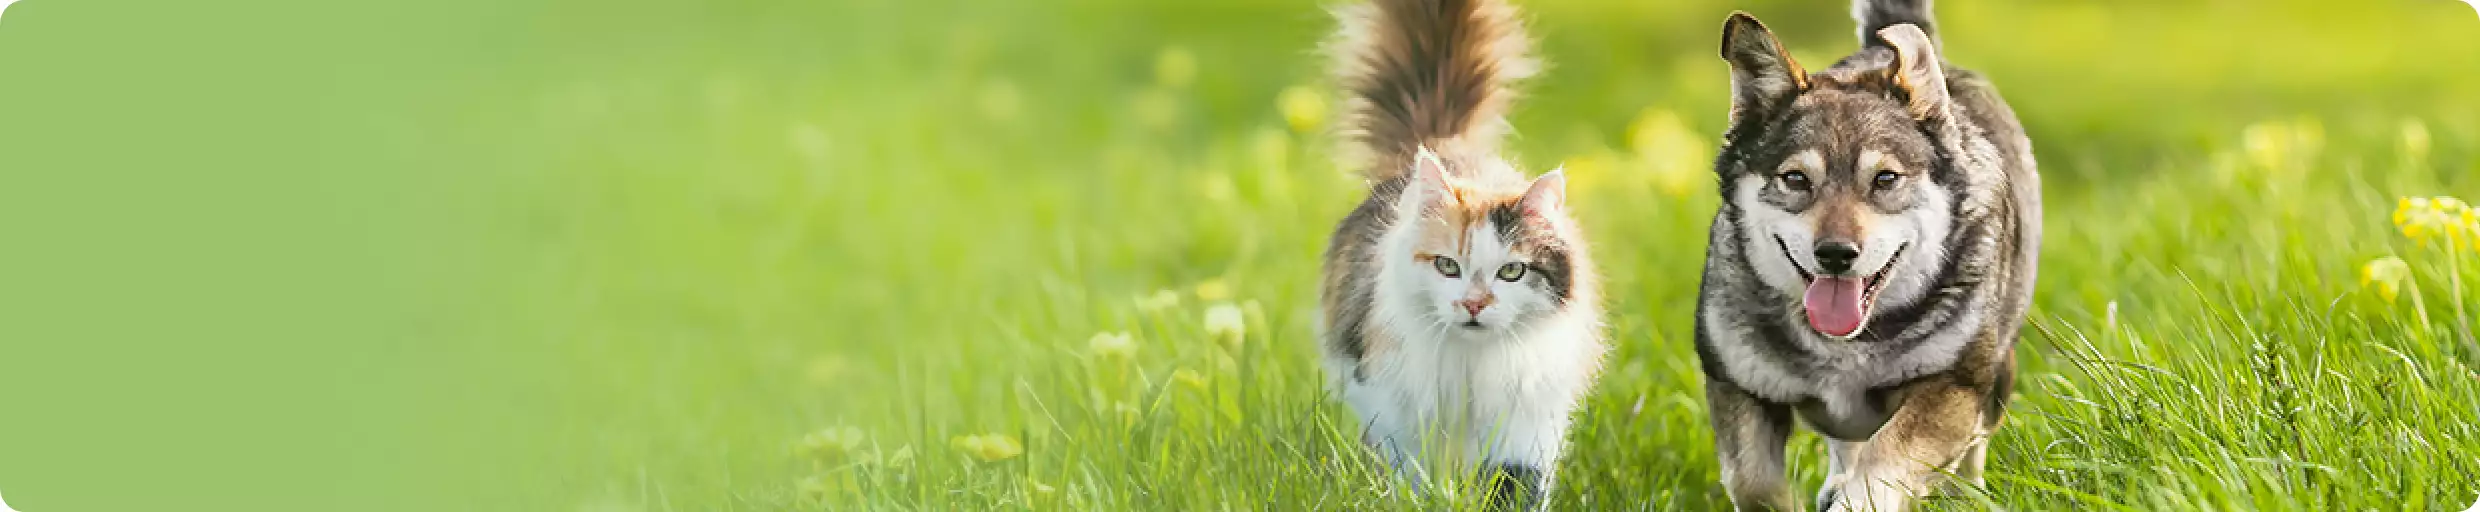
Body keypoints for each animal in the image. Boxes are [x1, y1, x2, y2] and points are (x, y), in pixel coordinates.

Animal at [1696, 2, 2043, 509]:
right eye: (1795, 179)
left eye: (1885, 179)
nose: (1836, 254)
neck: (1845, 346)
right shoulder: (1738, 384)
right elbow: (1752, 481)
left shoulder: (1950, 387)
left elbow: (1884, 464)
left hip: (1996, 374)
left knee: (1972, 447)